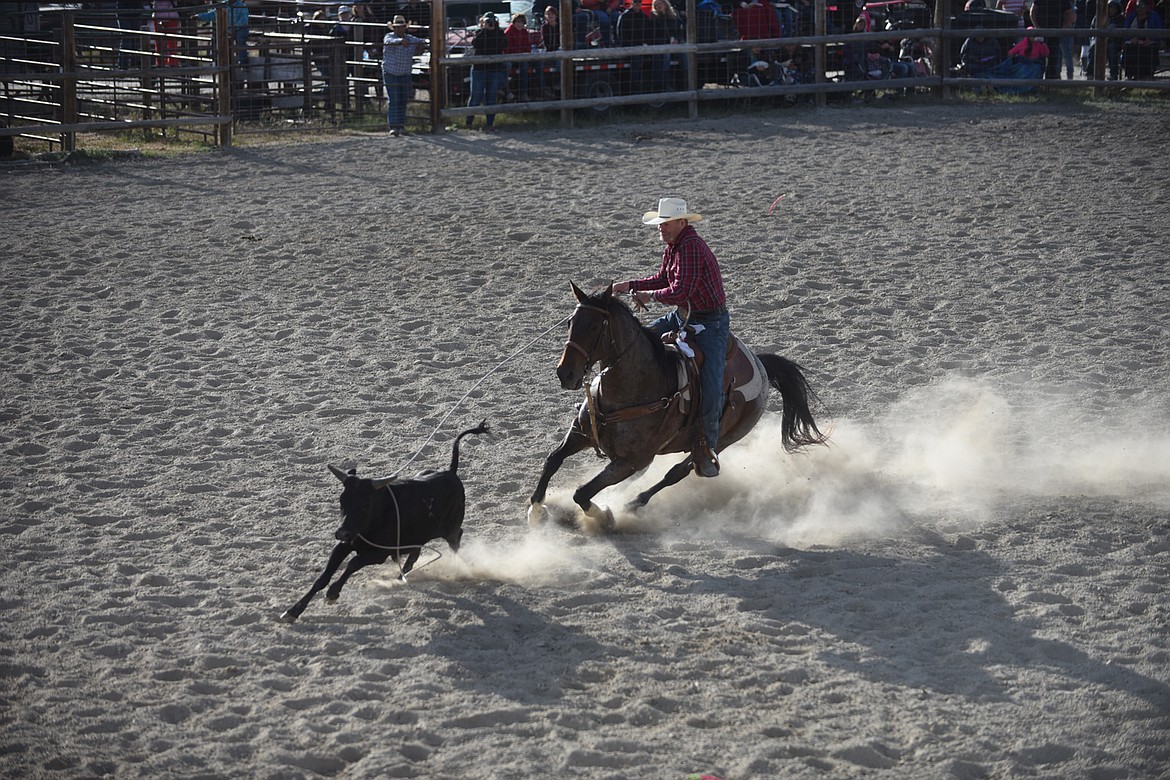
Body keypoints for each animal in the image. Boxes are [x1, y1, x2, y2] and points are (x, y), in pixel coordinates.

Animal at [280, 420, 491, 622]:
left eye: (365, 505)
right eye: (341, 502)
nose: (342, 532)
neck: (374, 519)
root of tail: (451, 472)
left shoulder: (379, 553)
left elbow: (353, 563)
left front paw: (333, 592)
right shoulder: (344, 545)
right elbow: (323, 576)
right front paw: (293, 611)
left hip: (450, 529)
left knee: (455, 539)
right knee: (414, 554)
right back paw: (400, 577)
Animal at [526, 284, 828, 533]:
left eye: (593, 327)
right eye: (570, 322)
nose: (565, 373)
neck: (633, 389)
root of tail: (761, 364)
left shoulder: (629, 461)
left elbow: (582, 492)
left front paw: (605, 516)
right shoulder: (581, 433)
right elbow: (553, 459)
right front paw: (536, 511)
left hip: (723, 441)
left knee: (678, 472)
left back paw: (632, 505)